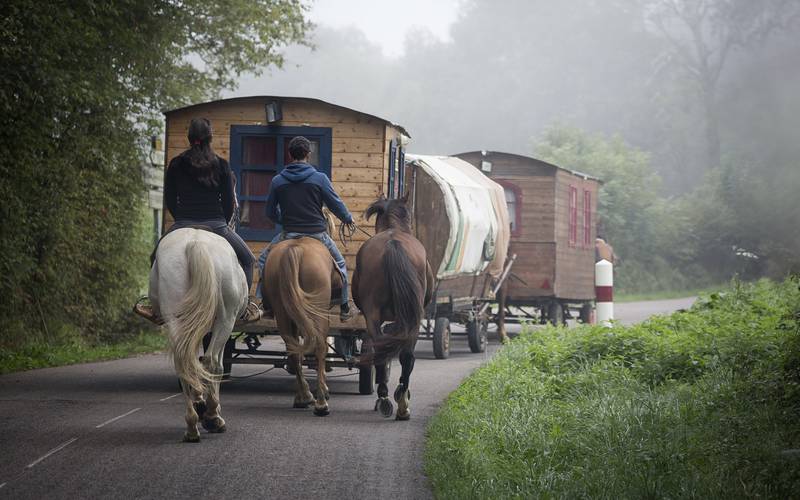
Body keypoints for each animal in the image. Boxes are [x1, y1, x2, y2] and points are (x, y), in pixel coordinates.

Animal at [148, 227, 248, 442]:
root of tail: (196, 243)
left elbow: (195, 363)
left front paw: (200, 402)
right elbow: (214, 365)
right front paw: (210, 410)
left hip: (176, 318)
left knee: (183, 363)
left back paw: (192, 425)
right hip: (226, 320)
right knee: (212, 363)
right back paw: (211, 417)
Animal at [262, 236, 338, 416]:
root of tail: (295, 249)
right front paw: (324, 389)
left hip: (282, 311)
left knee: (293, 349)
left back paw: (304, 397)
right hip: (317, 311)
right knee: (320, 347)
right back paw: (321, 403)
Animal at [354, 193, 434, 420]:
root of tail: (392, 244)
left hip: (375, 315)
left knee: (384, 350)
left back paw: (385, 398)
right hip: (413, 317)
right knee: (403, 356)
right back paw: (400, 401)